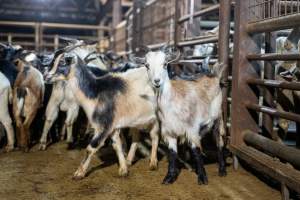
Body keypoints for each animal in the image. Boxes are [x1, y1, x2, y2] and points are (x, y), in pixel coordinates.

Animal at [135, 48, 226, 184]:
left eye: (165, 64)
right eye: (147, 65)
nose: (157, 81)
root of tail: (213, 77)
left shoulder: (191, 128)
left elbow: (196, 150)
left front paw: (202, 178)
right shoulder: (169, 132)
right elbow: (173, 154)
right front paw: (169, 177)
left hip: (218, 118)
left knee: (219, 141)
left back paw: (222, 170)